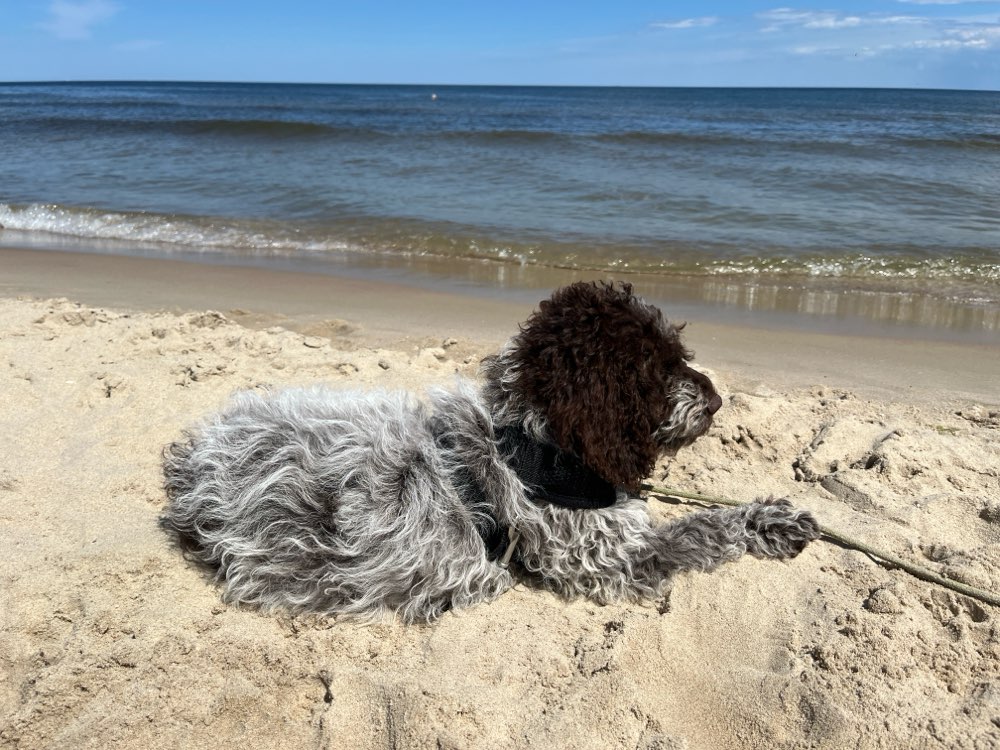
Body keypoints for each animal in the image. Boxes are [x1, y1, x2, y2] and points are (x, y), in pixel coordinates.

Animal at [164, 282, 820, 624]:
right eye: (652, 370)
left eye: (676, 354)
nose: (717, 399)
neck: (535, 450)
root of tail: (192, 473)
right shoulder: (612, 559)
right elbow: (702, 531)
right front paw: (768, 522)